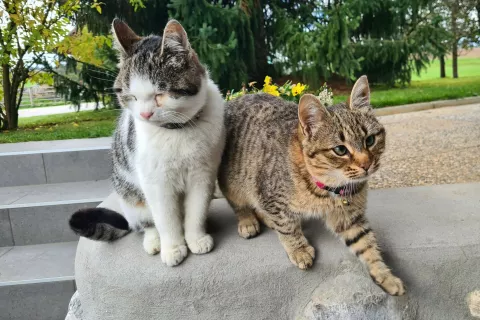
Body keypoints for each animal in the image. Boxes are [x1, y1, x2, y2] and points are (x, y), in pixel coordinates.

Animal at [70, 18, 226, 266]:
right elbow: (166, 219)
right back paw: (154, 241)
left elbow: (197, 210)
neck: (177, 131)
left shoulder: (203, 174)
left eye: (159, 95)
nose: (144, 115)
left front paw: (196, 238)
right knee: (146, 224)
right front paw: (173, 248)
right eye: (130, 96)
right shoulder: (156, 182)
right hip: (132, 197)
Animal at [220, 76, 404, 296]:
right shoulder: (271, 196)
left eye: (370, 140)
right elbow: (287, 227)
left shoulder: (349, 218)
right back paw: (248, 221)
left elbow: (365, 243)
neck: (329, 188)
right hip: (235, 182)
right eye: (340, 150)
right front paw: (299, 249)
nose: (366, 165)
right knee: (239, 204)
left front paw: (384, 274)